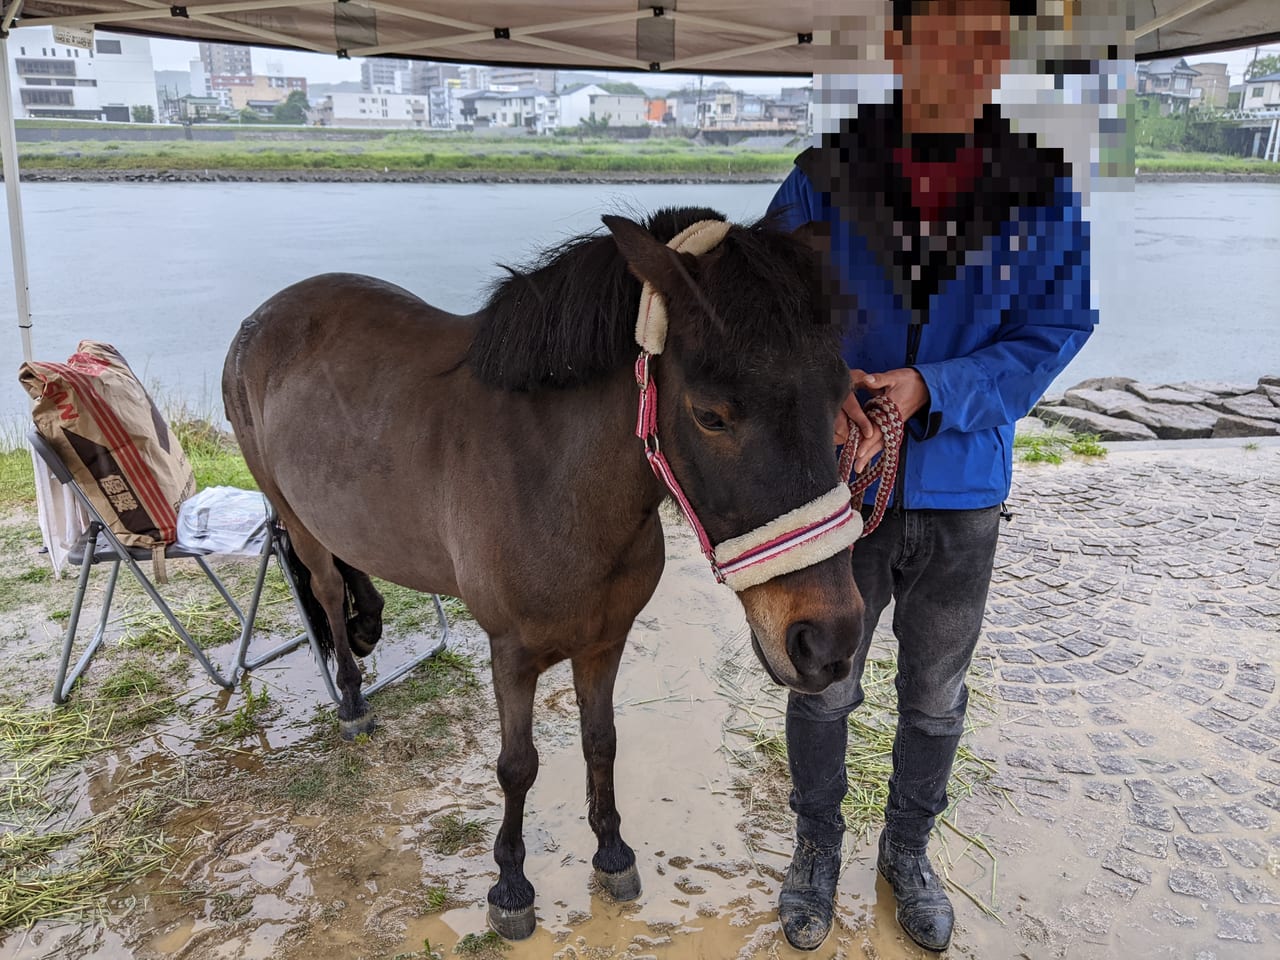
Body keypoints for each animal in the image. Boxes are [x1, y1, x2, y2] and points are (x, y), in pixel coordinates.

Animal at [225, 208, 870, 942]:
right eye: (711, 415)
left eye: (841, 397)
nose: (827, 642)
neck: (553, 478)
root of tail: (264, 317)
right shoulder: (512, 654)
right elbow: (517, 767)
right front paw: (510, 885)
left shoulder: (604, 641)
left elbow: (601, 742)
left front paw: (612, 851)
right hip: (291, 511)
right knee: (327, 589)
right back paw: (354, 696)